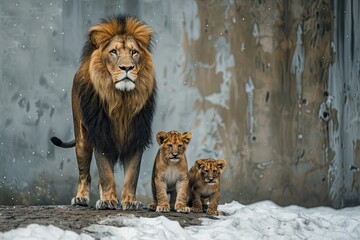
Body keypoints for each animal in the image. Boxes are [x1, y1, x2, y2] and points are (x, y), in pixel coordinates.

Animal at [49, 15, 156, 210]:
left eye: (134, 52)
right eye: (113, 52)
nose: (127, 68)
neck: (121, 99)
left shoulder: (136, 136)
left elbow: (132, 175)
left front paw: (130, 201)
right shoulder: (101, 134)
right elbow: (105, 173)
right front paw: (107, 201)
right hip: (82, 139)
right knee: (84, 174)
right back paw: (80, 199)